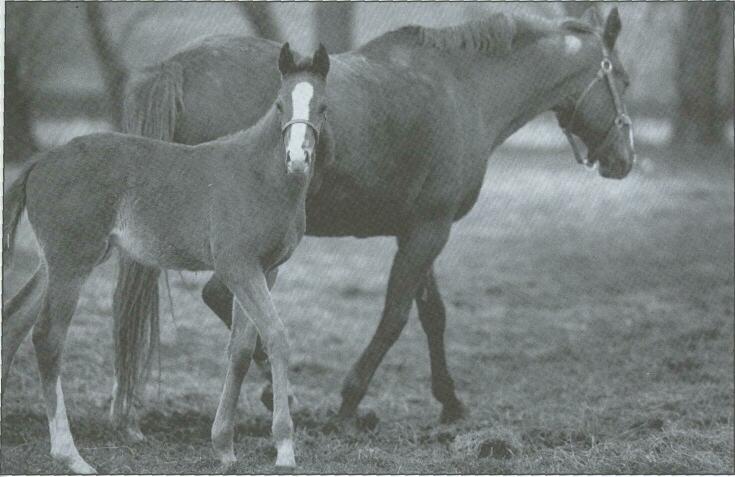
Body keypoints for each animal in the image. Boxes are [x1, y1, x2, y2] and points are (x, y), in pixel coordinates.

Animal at [112, 7, 636, 438]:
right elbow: (395, 318)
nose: (624, 159)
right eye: (625, 81)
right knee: (220, 296)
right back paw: (280, 395)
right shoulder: (429, 232)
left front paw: (450, 401)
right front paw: (349, 401)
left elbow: (432, 315)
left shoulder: (422, 229)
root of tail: (177, 68)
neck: (464, 87)